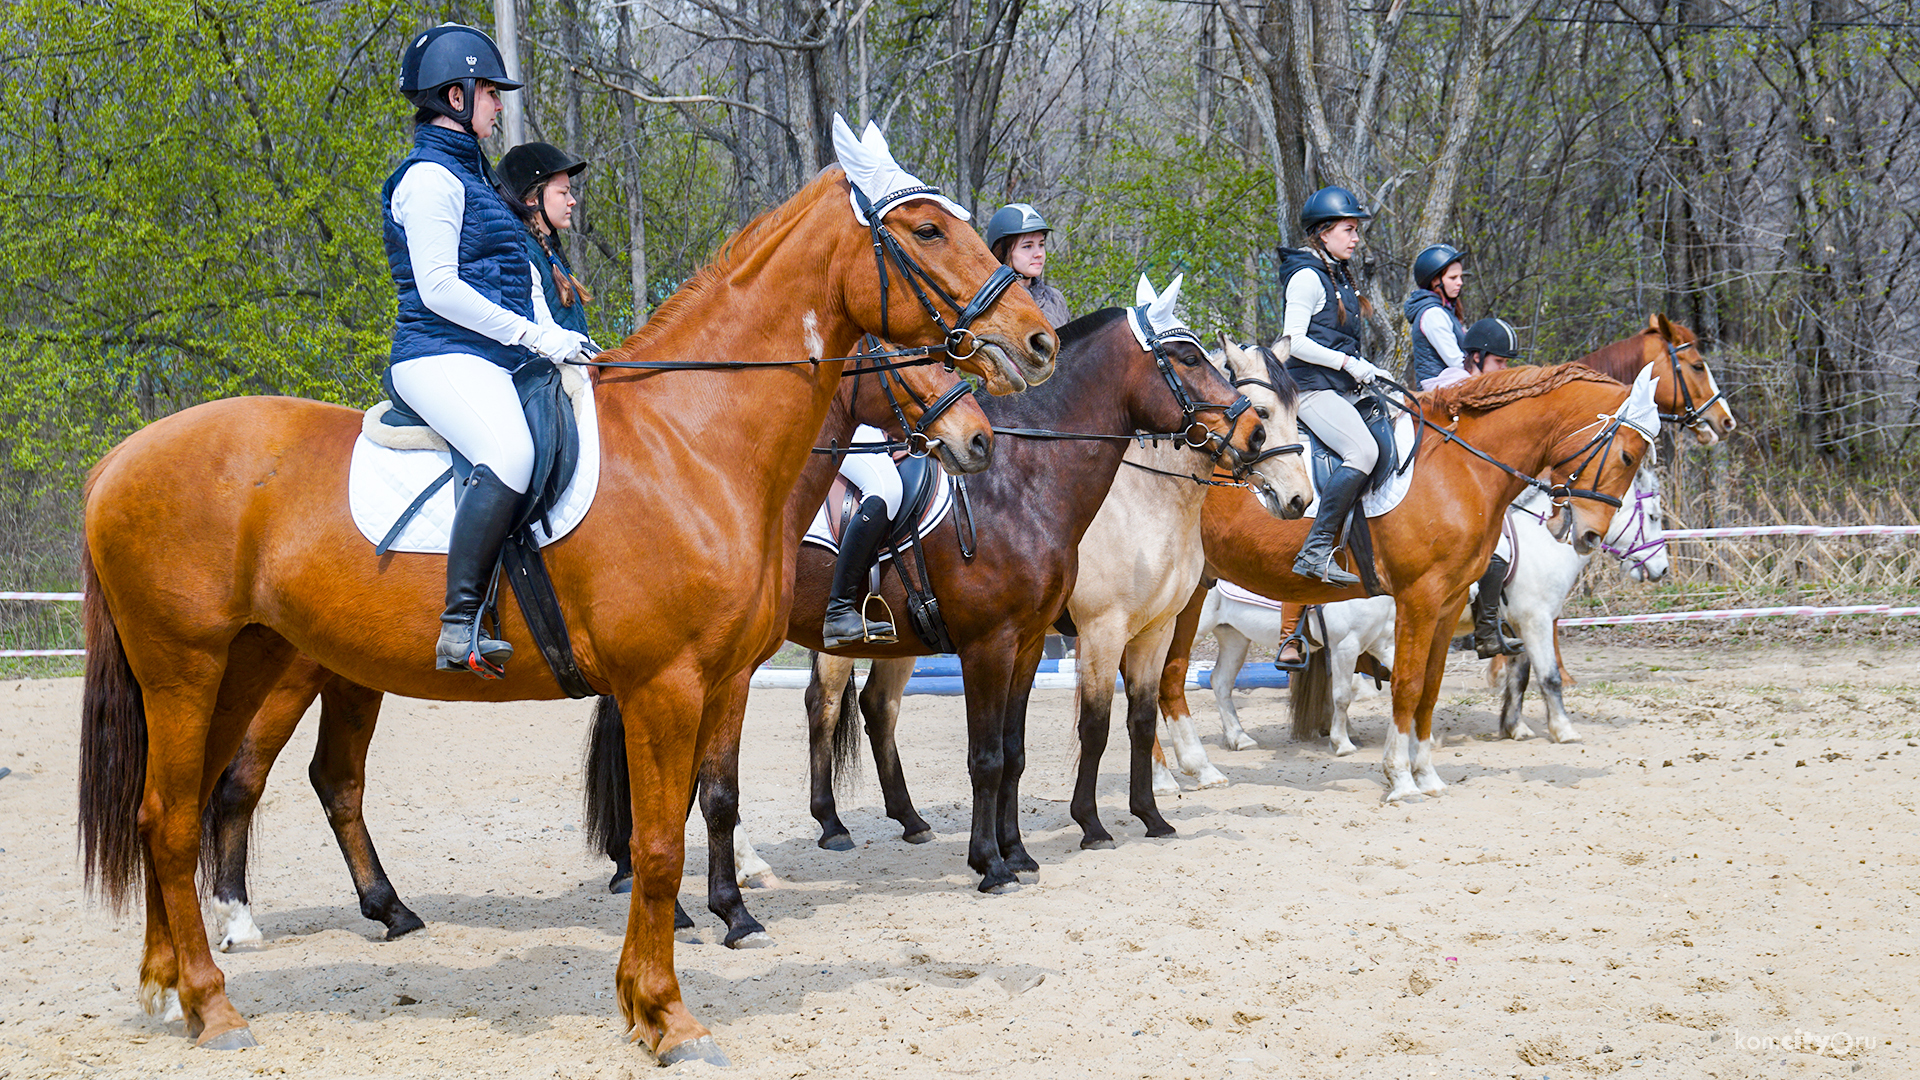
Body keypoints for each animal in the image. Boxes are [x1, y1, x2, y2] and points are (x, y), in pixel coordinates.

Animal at [198, 343, 1006, 949]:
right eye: (904, 353)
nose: (977, 438)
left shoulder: (712, 672)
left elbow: (707, 791)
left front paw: (714, 905)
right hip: (286, 671)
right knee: (242, 777)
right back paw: (237, 918)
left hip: (349, 676)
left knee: (333, 780)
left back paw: (388, 909)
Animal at [1113, 365, 1651, 826]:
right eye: (1627, 456)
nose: (1587, 535)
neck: (1461, 468)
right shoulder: (1420, 599)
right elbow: (1407, 687)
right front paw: (1400, 779)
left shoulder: (1449, 604)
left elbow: (1430, 690)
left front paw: (1427, 775)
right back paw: (1169, 776)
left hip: (1194, 597)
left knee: (1170, 676)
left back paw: (1192, 771)